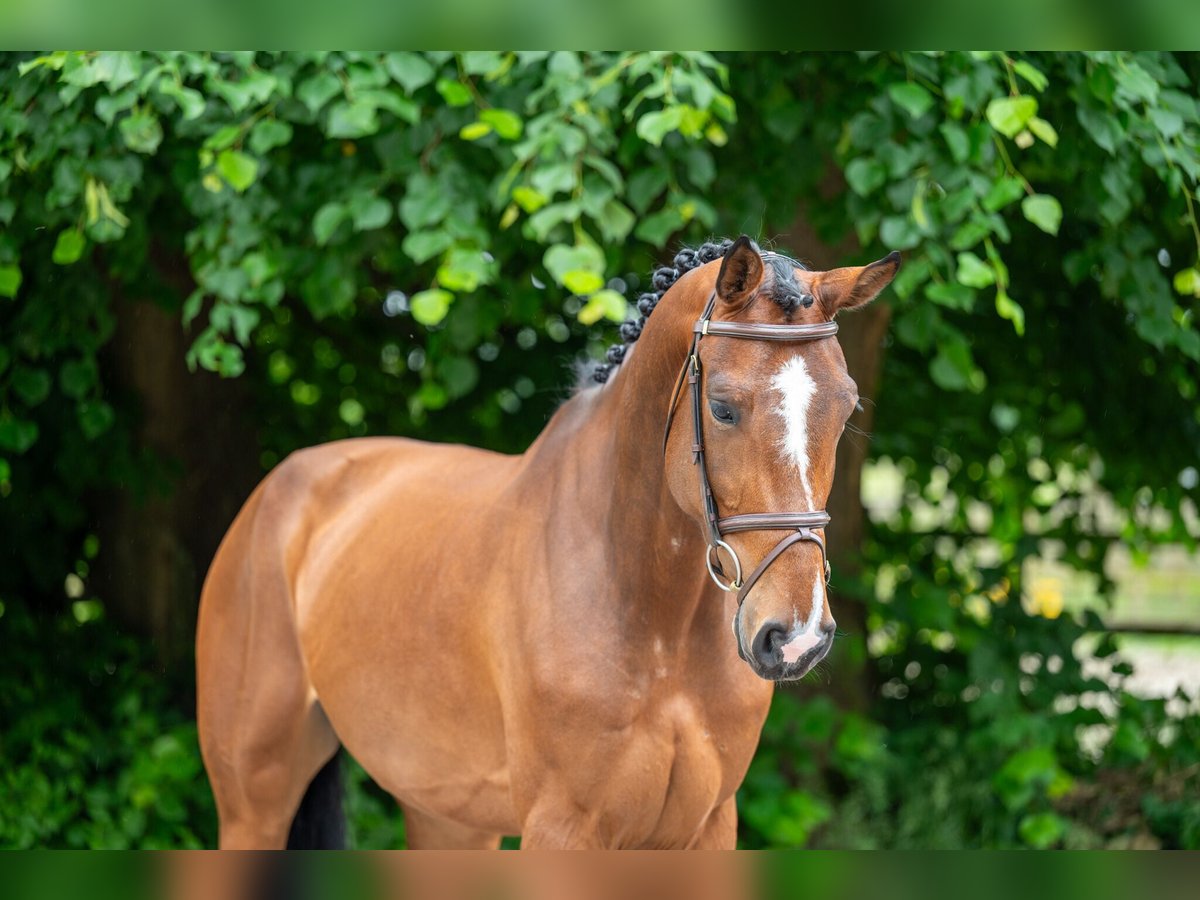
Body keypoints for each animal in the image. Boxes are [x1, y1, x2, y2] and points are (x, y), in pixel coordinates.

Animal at [192, 236, 897, 849]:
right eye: (723, 408)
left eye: (847, 408)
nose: (795, 636)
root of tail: (279, 490)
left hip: (446, 817)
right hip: (253, 805)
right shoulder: (563, 828)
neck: (653, 624)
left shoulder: (704, 829)